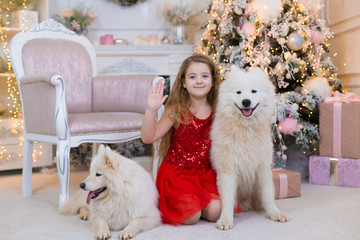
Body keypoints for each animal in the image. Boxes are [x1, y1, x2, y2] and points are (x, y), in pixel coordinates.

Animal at [211, 64, 286, 230]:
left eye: (254, 91)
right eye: (238, 92)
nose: (246, 102)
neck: (245, 129)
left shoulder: (263, 168)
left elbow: (268, 195)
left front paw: (275, 213)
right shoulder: (227, 170)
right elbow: (227, 200)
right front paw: (225, 220)